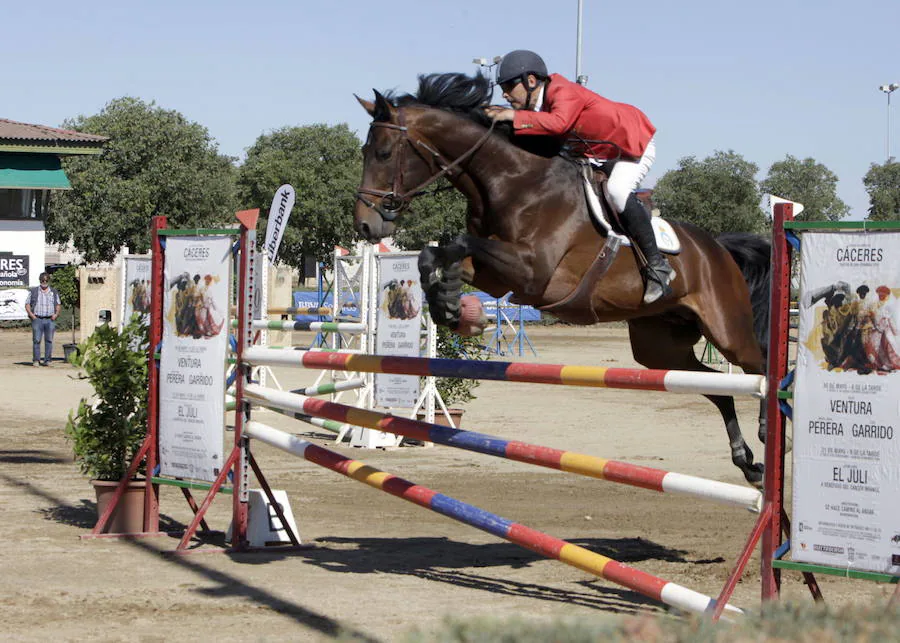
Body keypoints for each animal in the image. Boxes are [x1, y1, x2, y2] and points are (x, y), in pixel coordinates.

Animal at [356, 74, 768, 488]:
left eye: (384, 153)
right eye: (364, 151)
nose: (366, 225)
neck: (510, 180)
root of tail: (718, 247)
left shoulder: (533, 271)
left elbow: (458, 242)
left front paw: (457, 307)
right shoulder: (497, 275)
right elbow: (435, 255)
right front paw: (451, 306)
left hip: (727, 329)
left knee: (760, 368)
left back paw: (766, 433)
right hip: (659, 347)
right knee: (715, 388)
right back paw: (747, 462)